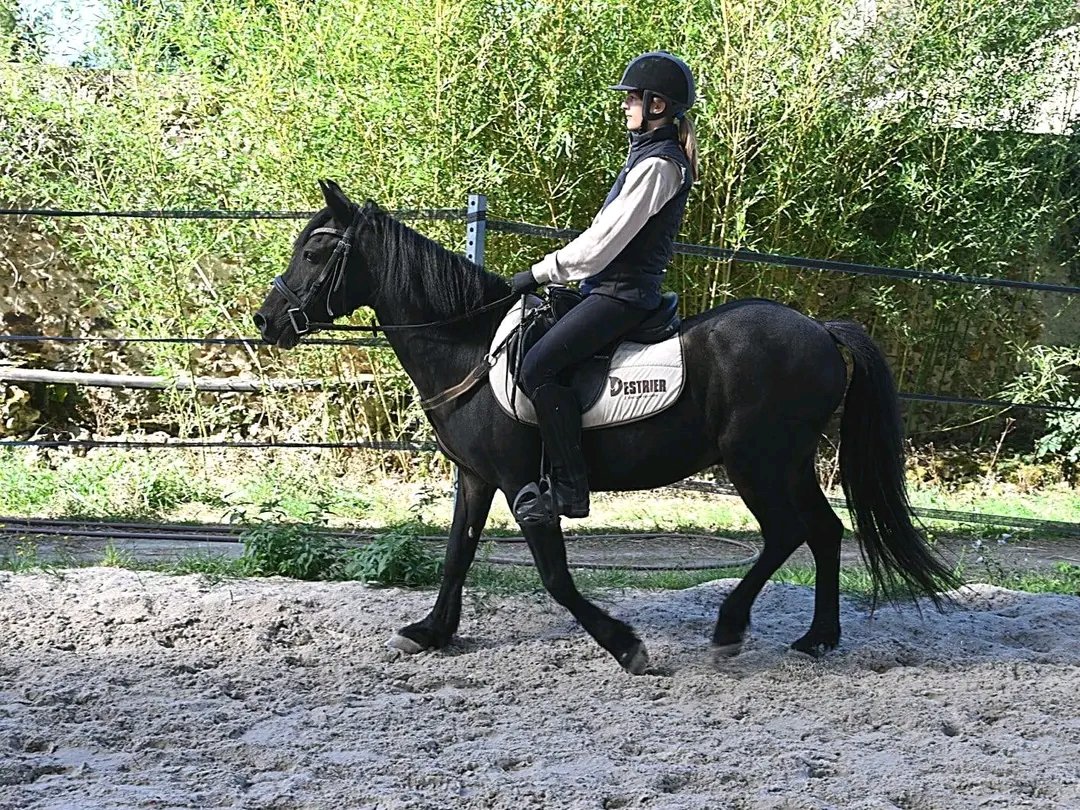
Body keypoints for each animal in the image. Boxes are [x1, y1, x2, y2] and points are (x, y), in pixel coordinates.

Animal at [253, 179, 960, 674]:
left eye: (315, 249)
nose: (267, 321)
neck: (469, 345)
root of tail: (820, 331)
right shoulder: (477, 479)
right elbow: (455, 555)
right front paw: (430, 632)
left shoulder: (523, 487)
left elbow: (557, 580)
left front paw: (627, 648)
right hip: (784, 461)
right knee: (824, 530)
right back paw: (816, 639)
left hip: (756, 460)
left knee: (789, 532)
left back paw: (731, 629)